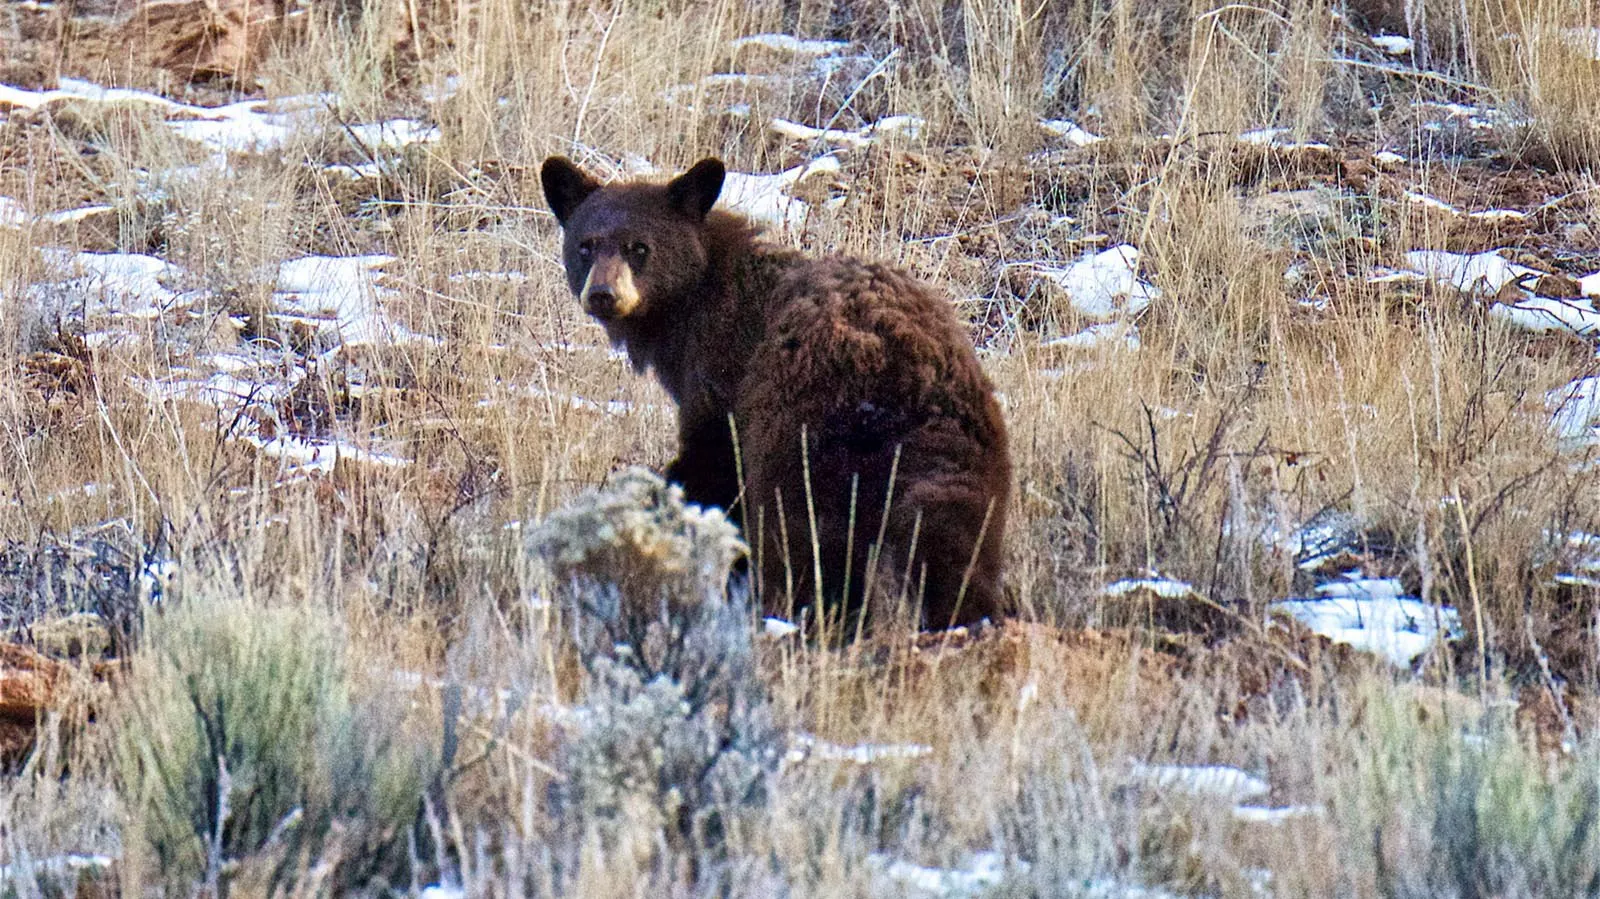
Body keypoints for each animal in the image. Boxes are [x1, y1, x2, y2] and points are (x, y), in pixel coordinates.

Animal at [540, 155, 1010, 630]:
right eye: (586, 245)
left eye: (639, 247)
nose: (603, 294)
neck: (695, 303)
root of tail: (903, 370)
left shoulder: (723, 375)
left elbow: (714, 466)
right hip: (965, 452)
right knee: (953, 538)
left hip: (804, 429)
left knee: (801, 528)